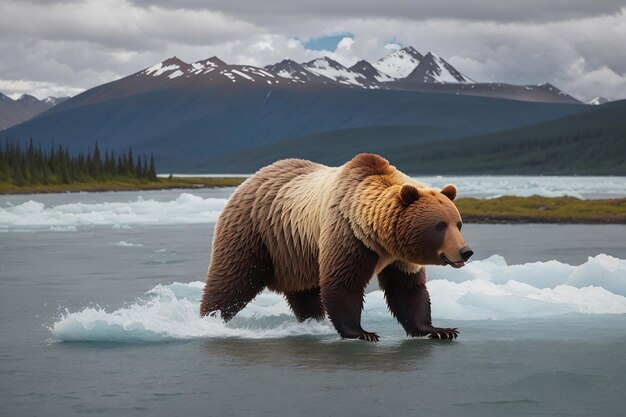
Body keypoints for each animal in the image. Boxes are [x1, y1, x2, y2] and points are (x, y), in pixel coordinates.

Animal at [202, 154, 470, 340]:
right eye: (439, 225)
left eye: (458, 223)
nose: (466, 251)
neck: (377, 237)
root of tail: (247, 181)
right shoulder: (347, 234)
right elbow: (343, 281)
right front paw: (362, 332)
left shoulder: (399, 258)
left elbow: (407, 289)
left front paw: (440, 329)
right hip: (255, 232)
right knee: (232, 280)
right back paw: (211, 319)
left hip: (296, 252)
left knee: (304, 292)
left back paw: (312, 322)